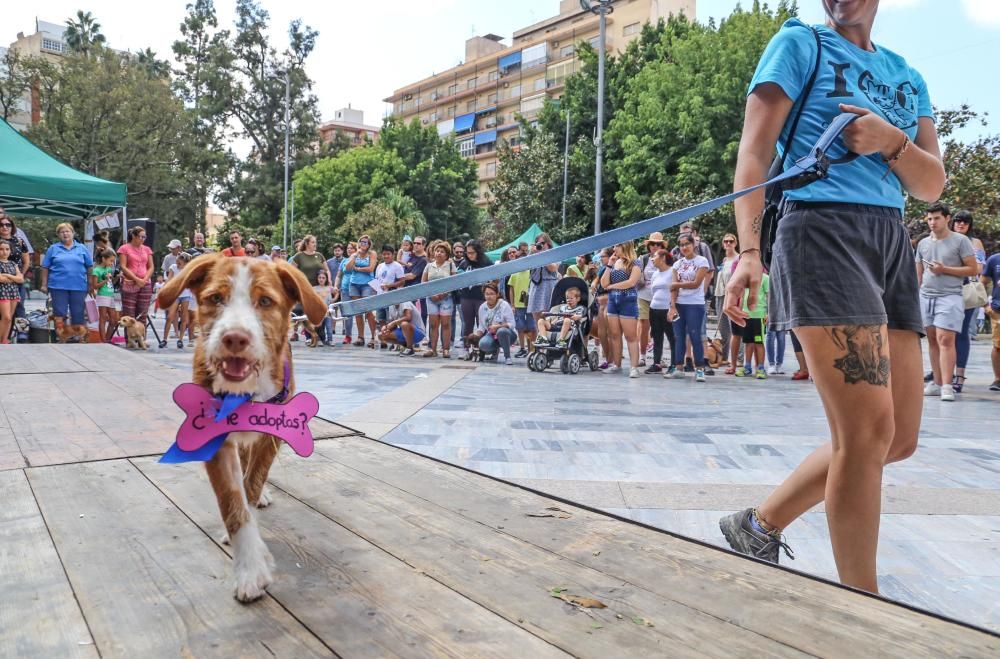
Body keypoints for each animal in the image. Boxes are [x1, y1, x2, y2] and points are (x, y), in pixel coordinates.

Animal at [156, 253, 326, 604]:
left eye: (265, 301)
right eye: (215, 299)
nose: (235, 338)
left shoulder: (273, 434)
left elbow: (251, 484)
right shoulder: (213, 439)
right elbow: (232, 503)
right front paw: (250, 569)